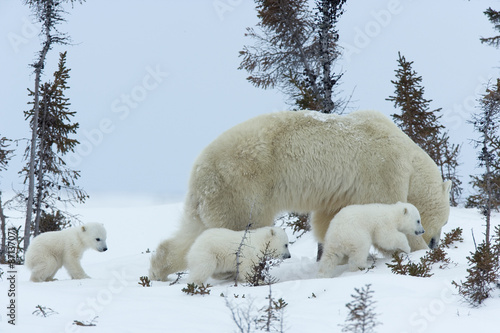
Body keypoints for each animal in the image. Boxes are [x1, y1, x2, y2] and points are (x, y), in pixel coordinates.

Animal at [147, 110, 450, 278]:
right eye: (445, 220)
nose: (434, 241)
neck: (408, 155)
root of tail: (201, 170)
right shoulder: (382, 169)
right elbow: (385, 212)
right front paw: (415, 250)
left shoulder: (341, 190)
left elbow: (328, 221)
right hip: (243, 188)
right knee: (238, 228)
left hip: (212, 197)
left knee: (191, 234)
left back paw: (158, 270)